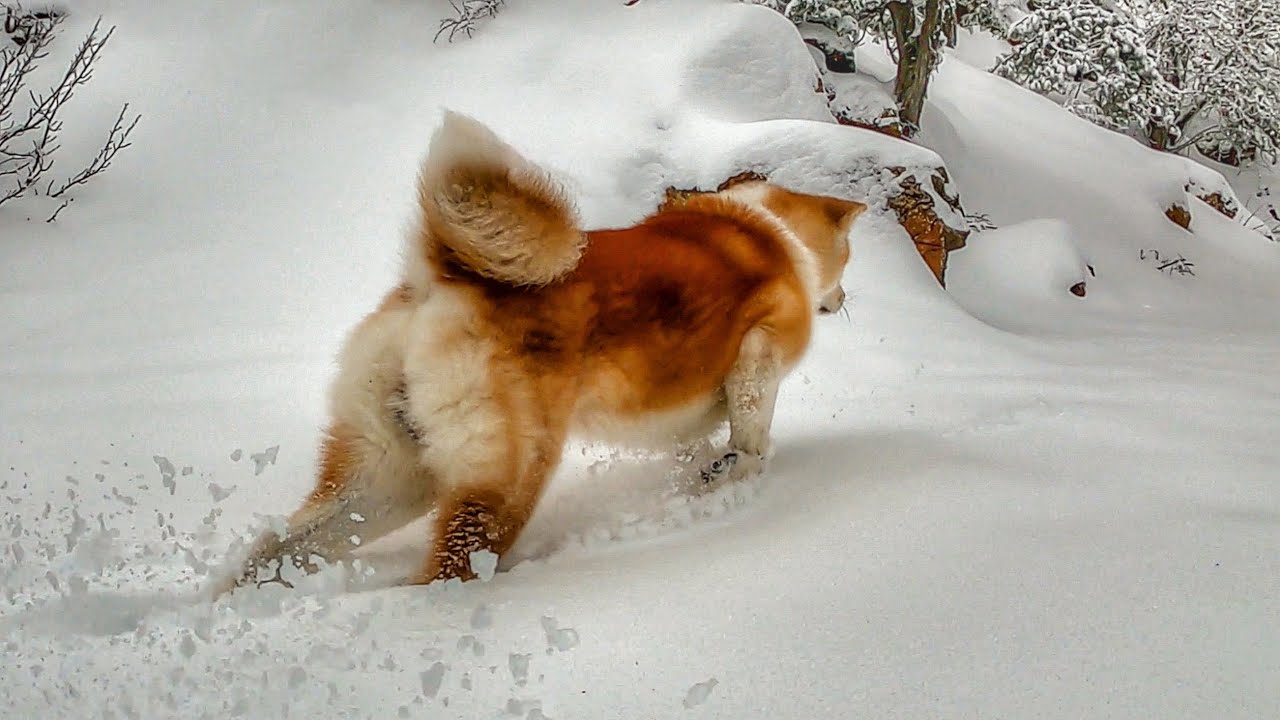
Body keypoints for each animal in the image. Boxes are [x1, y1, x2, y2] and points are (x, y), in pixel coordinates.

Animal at [215, 110, 865, 594]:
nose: (842, 299)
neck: (775, 233)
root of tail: (442, 278)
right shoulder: (758, 359)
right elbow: (752, 440)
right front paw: (730, 475)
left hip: (388, 476)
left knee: (276, 547)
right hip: (505, 483)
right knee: (445, 572)